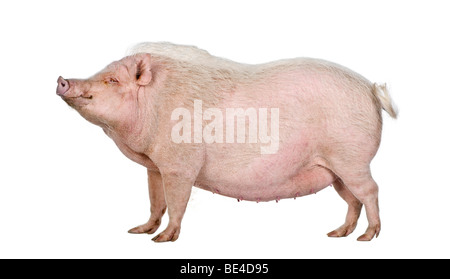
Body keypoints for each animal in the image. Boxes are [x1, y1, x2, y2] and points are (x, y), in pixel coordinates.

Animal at [56, 42, 398, 243]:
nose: (62, 79)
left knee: (371, 191)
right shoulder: (155, 166)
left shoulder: (181, 165)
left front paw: (162, 240)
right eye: (102, 72)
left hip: (352, 157)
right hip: (336, 170)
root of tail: (370, 88)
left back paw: (367, 237)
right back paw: (337, 235)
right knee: (353, 199)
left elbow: (177, 201)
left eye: (112, 80)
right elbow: (155, 200)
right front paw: (138, 231)